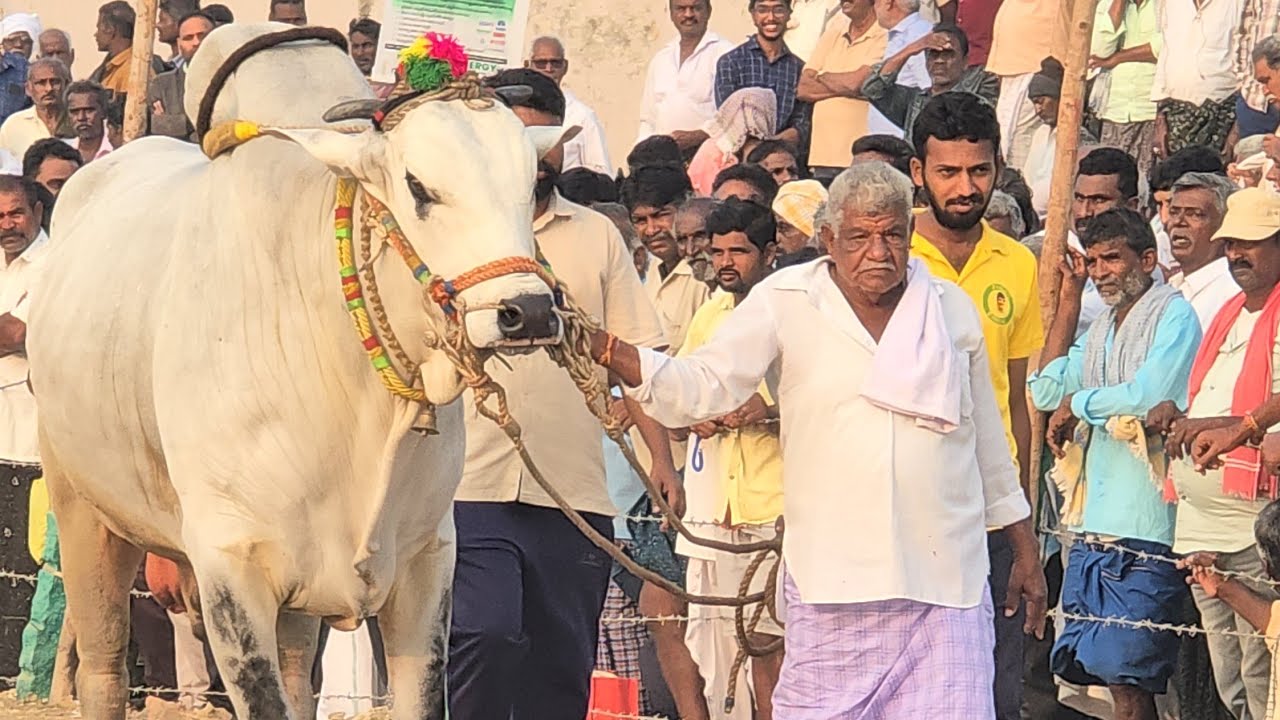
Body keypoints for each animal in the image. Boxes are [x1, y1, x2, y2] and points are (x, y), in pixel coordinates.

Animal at [25, 24, 571, 720]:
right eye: (418, 187)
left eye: (531, 187)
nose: (527, 311)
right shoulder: (230, 567)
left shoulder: (426, 561)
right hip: (81, 509)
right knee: (103, 669)